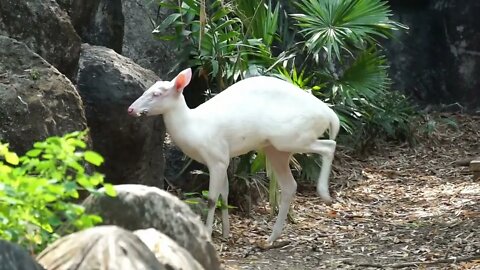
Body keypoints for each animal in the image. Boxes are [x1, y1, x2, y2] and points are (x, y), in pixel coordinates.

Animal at [126, 68, 338, 245]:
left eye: (156, 94)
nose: (130, 109)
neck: (193, 128)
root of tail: (330, 116)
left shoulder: (216, 156)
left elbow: (213, 198)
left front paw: (209, 233)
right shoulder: (224, 158)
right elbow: (225, 193)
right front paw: (226, 233)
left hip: (290, 138)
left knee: (329, 145)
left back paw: (324, 194)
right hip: (276, 149)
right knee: (289, 185)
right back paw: (270, 238)